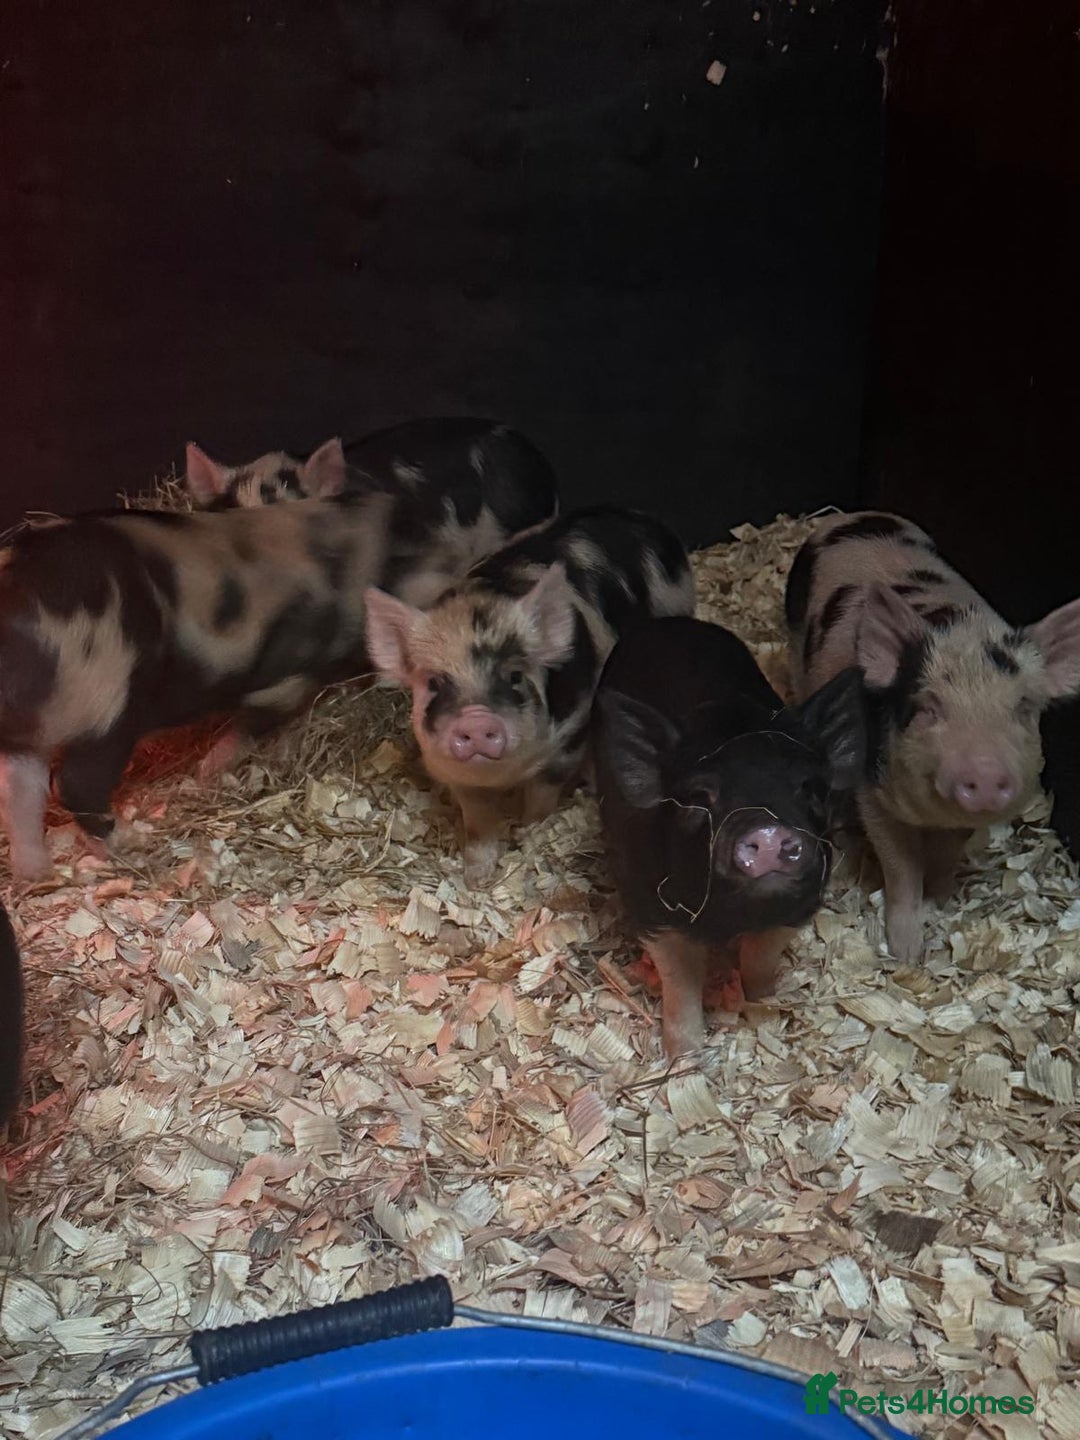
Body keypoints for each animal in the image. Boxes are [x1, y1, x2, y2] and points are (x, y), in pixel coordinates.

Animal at [0, 493, 394, 882]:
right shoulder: (287, 681)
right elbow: (253, 726)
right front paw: (209, 773)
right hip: (108, 707)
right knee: (73, 784)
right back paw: (130, 843)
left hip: (32, 738)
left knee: (20, 792)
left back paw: (36, 875)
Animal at [364, 506, 695, 887]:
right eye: (434, 682)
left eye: (515, 676)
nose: (476, 719)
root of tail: (644, 519)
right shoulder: (453, 772)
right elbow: (477, 818)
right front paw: (476, 876)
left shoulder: (571, 730)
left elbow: (542, 796)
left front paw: (529, 834)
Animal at [593, 615, 865, 1057]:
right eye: (698, 799)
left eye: (809, 788)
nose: (768, 831)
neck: (734, 916)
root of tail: (669, 622)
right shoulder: (652, 910)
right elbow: (681, 985)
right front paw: (683, 1057)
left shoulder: (799, 905)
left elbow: (760, 960)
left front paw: (764, 1003)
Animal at [786, 510, 1080, 960]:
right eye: (928, 708)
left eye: (1024, 708)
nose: (985, 773)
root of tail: (848, 516)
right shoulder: (872, 793)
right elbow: (902, 868)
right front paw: (907, 953)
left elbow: (946, 853)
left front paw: (940, 902)